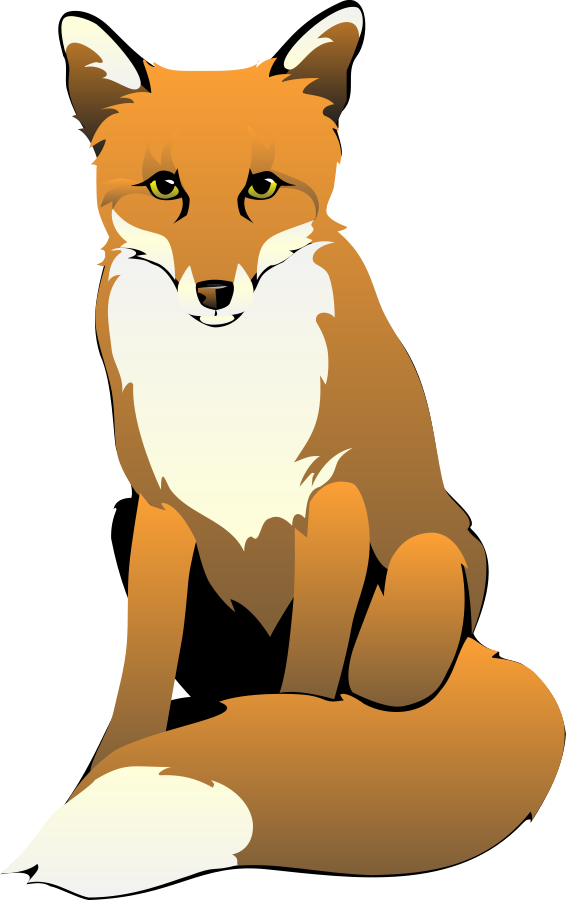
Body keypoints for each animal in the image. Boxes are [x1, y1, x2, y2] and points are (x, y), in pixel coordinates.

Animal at [2, 8, 563, 896]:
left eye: (261, 188)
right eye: (165, 188)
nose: (214, 293)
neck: (229, 391)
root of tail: (486, 647)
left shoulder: (332, 506)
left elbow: (304, 687)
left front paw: (297, 756)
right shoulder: (158, 511)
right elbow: (143, 672)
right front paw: (101, 773)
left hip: (418, 582)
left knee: (369, 674)